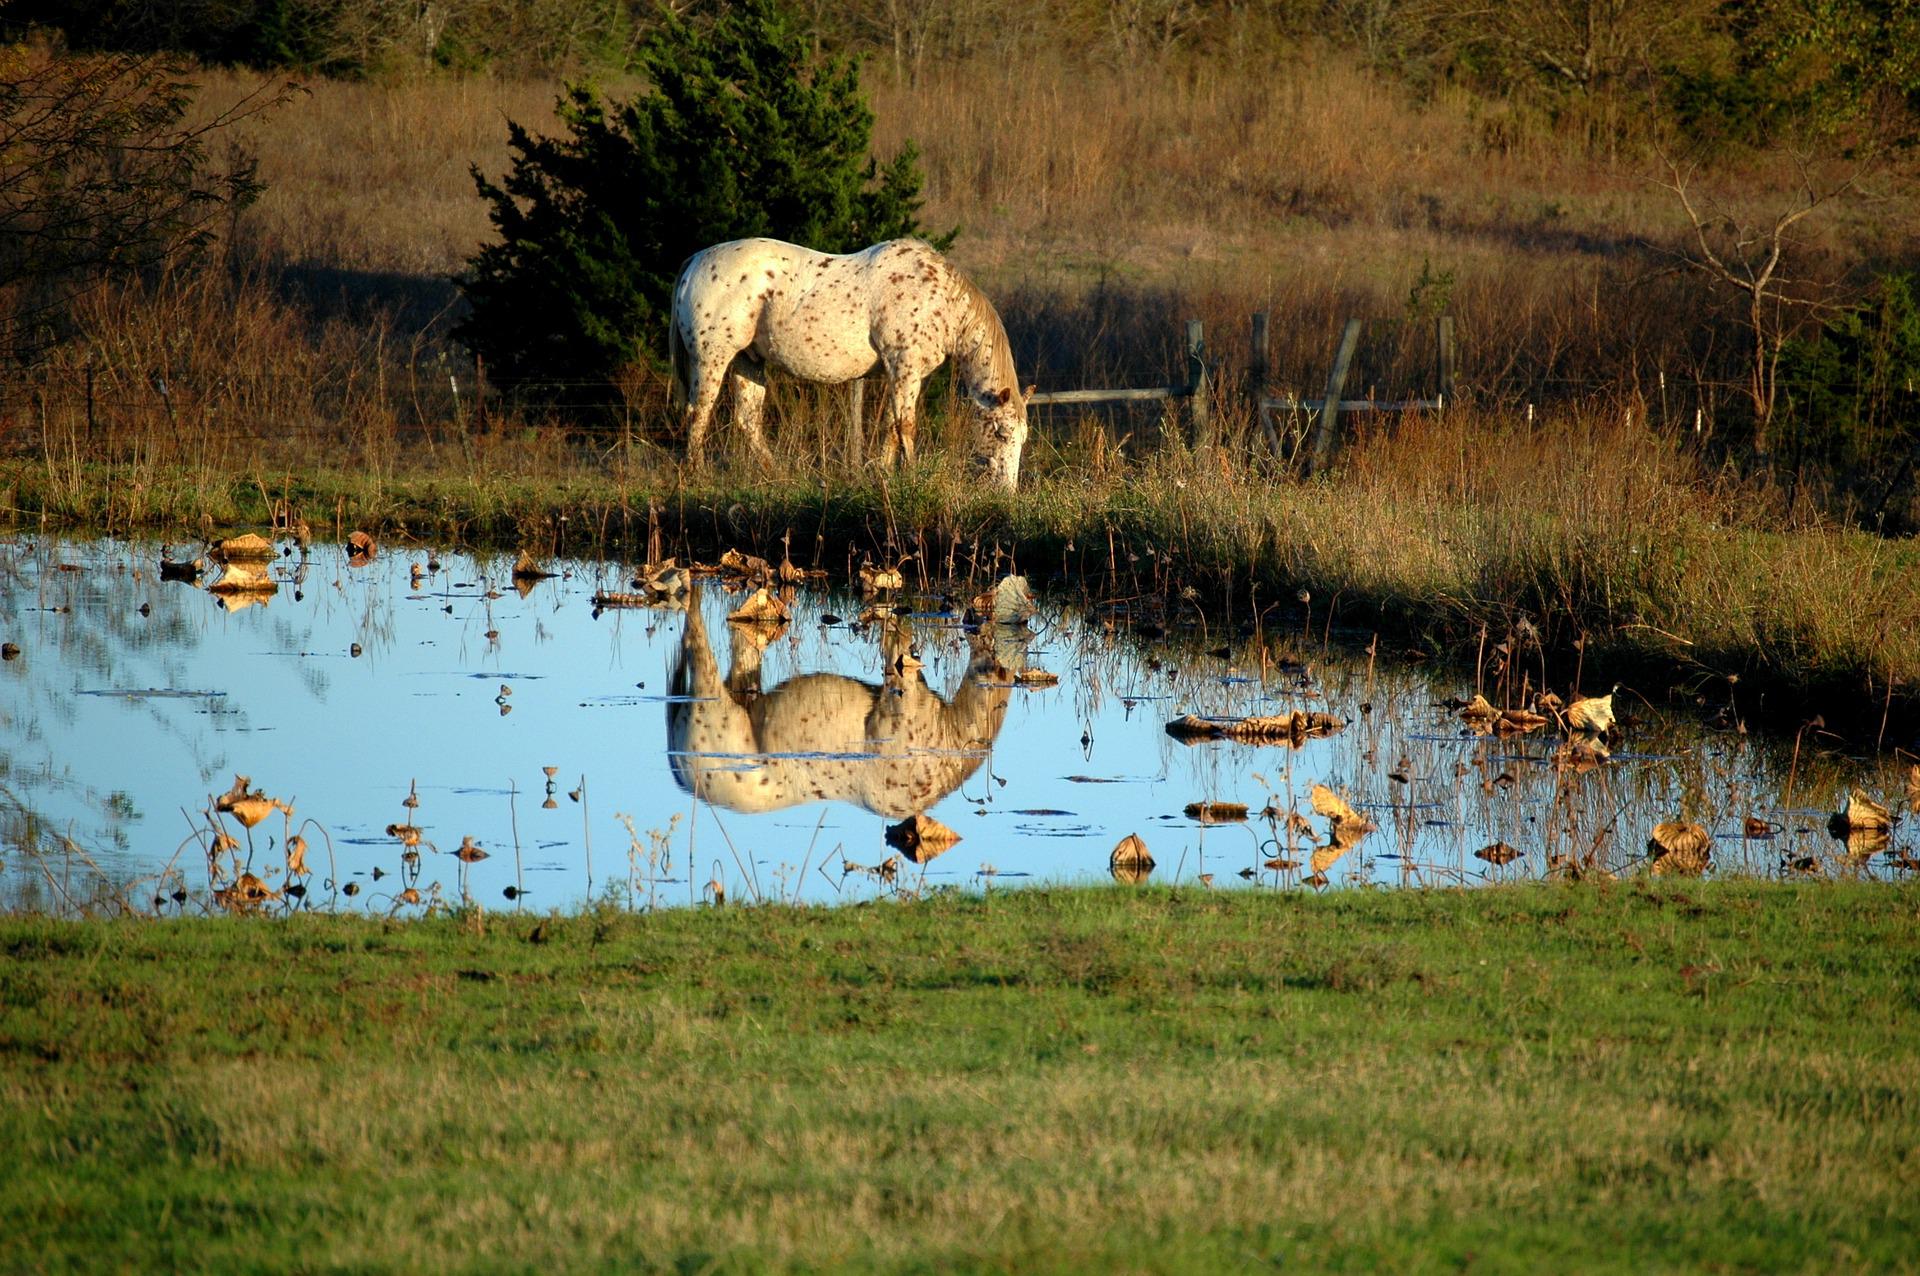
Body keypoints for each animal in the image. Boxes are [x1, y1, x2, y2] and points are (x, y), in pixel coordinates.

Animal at [668, 587, 1029, 817]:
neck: (943, 741)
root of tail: (678, 769)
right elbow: (895, 642)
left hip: (741, 689)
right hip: (710, 696)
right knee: (694, 635)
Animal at [675, 234, 1036, 487]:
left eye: (1021, 438)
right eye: (1001, 434)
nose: (1007, 491)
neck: (938, 298)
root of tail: (694, 261)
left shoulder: (898, 374)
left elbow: (891, 426)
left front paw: (883, 474)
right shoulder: (905, 367)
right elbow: (906, 425)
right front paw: (912, 475)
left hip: (747, 361)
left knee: (748, 421)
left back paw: (777, 474)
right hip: (712, 357)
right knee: (699, 414)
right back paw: (698, 474)